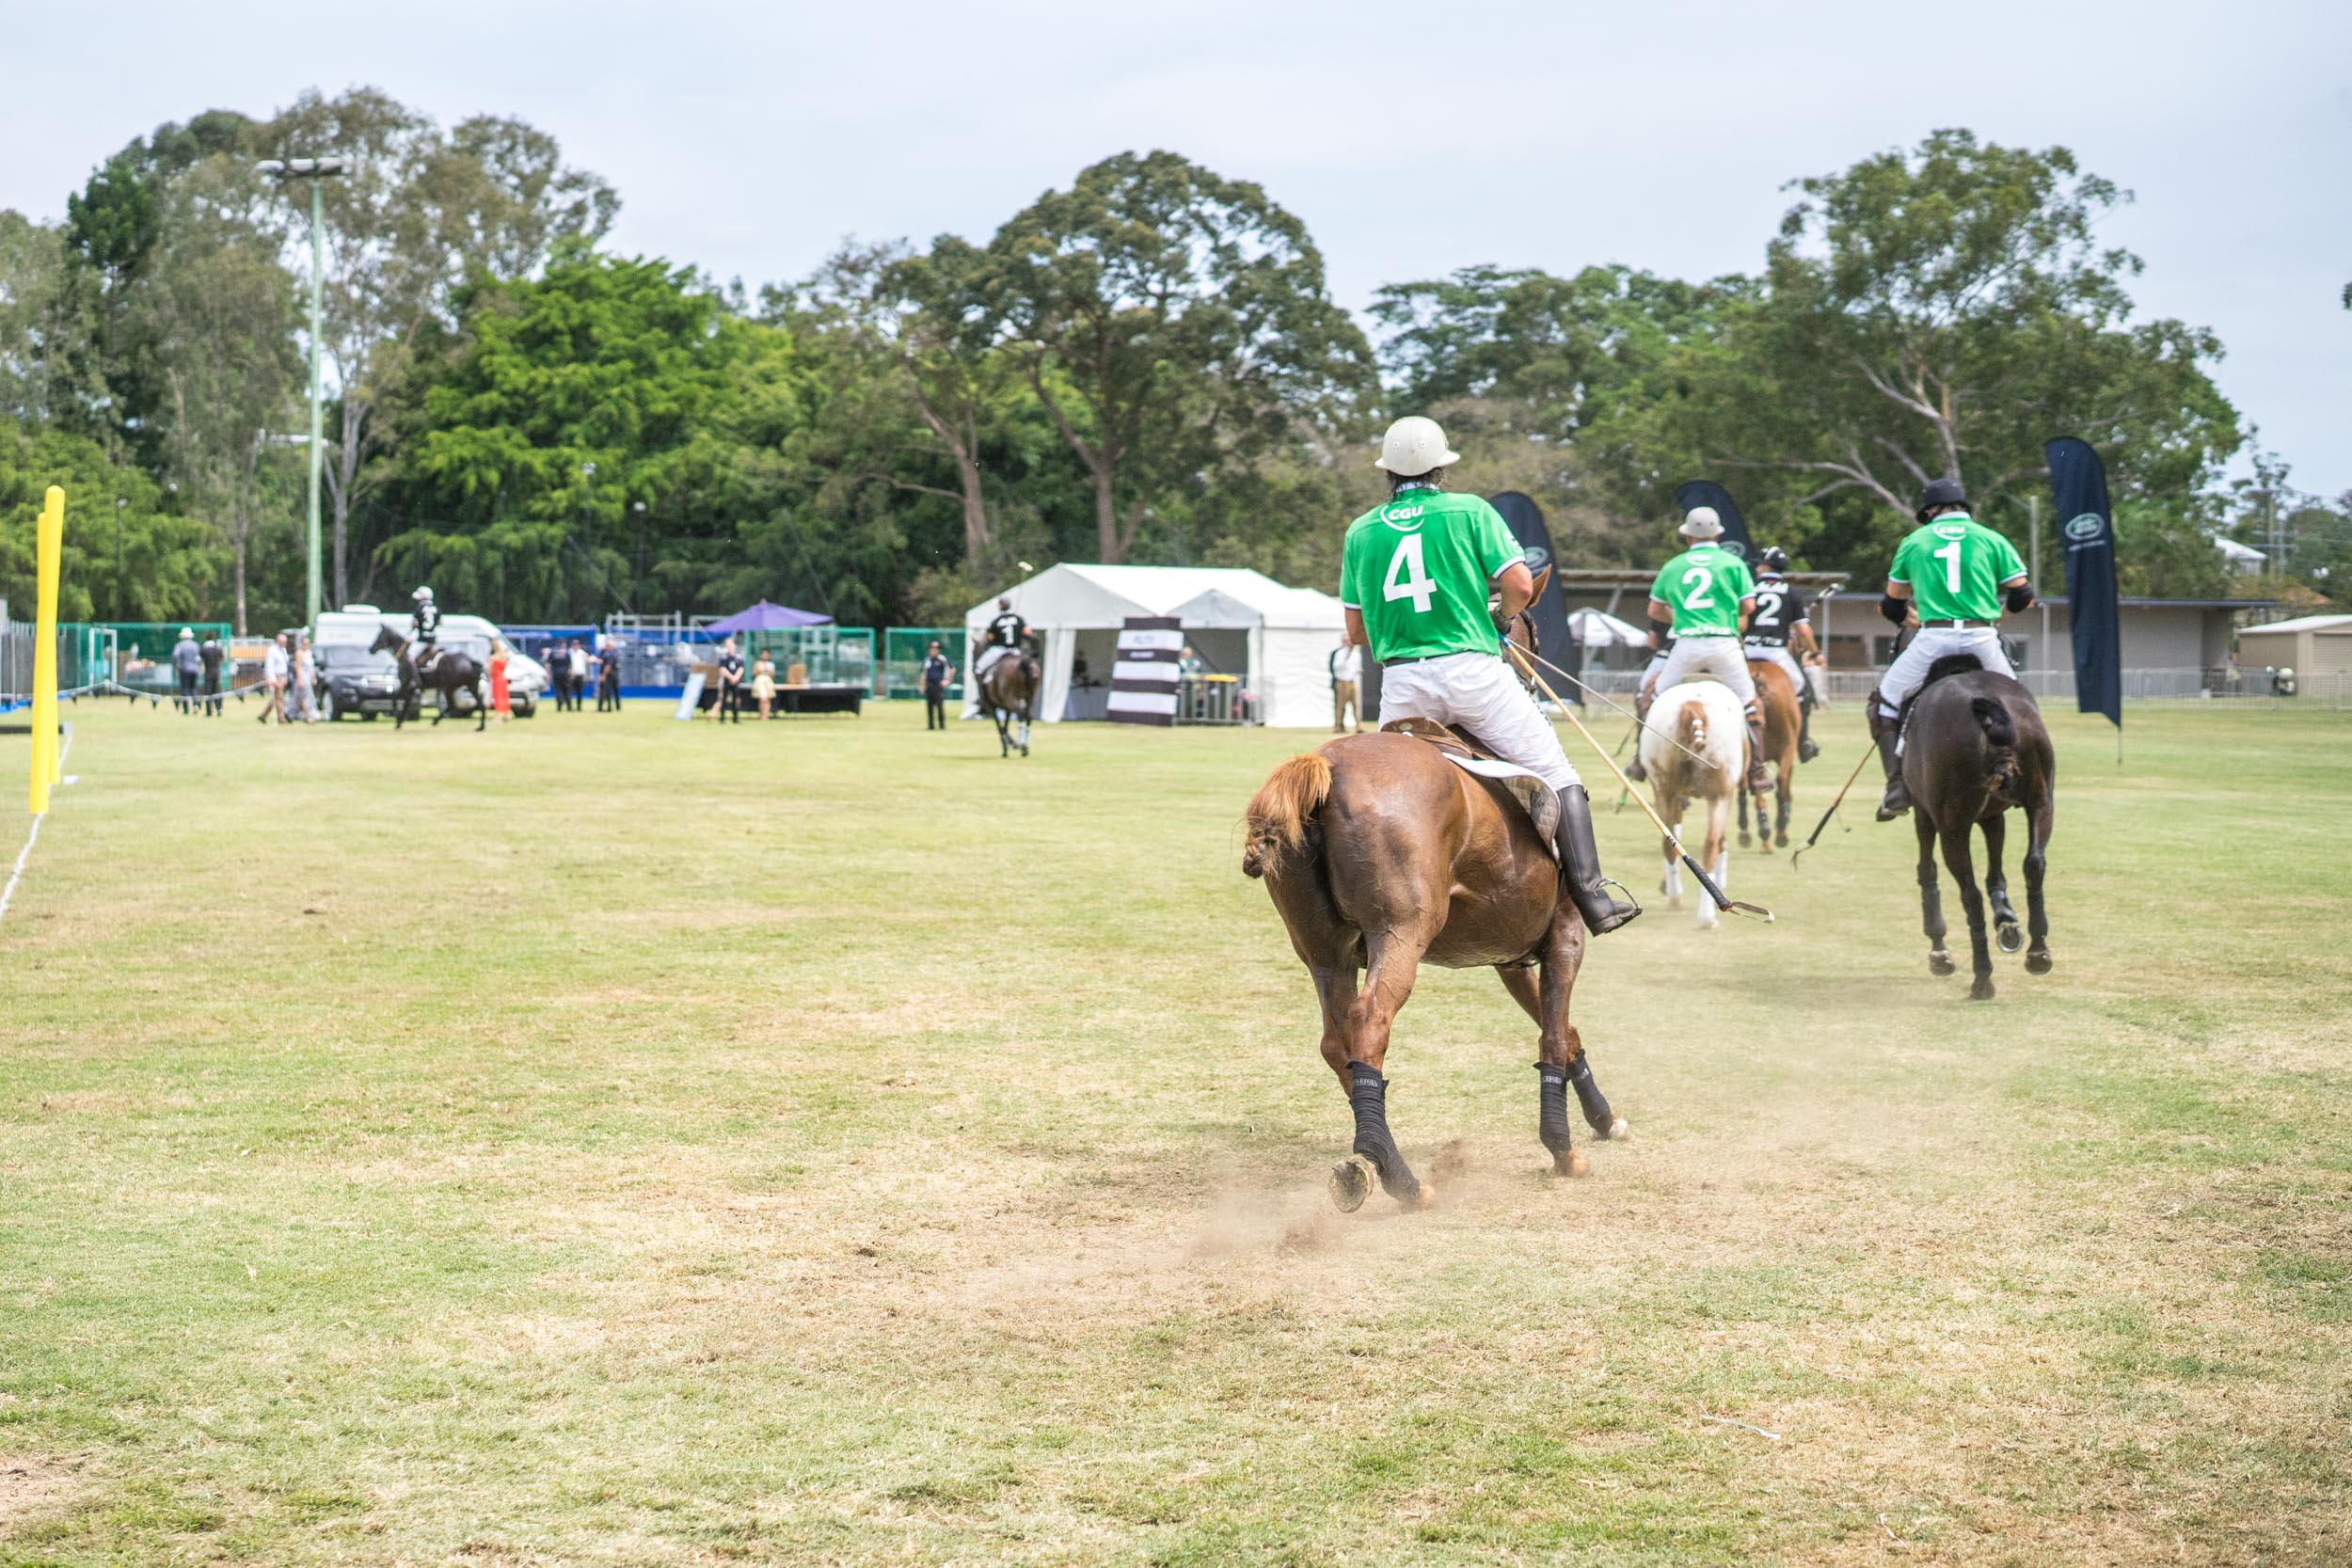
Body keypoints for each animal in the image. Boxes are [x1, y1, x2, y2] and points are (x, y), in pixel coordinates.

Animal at [978, 639, 1044, 761]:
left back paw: (1021, 746)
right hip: (1030, 697)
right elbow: (1005, 725)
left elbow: (1000, 727)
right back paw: (1025, 748)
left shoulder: (990, 706)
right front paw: (1009, 746)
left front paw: (1008, 747)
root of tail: (1024, 663)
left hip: (1010, 699)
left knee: (1021, 715)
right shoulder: (1006, 707)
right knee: (1028, 716)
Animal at [1242, 733, 1628, 1212]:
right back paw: (1400, 1179)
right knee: (1370, 1020)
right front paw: (1564, 1151)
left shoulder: (1510, 960)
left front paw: (1605, 1119)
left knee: (1336, 1041)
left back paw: (1375, 1165)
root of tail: (1324, 766)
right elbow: (1555, 1036)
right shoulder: (1565, 939)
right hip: (1402, 930)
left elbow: (1563, 1030)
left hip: (1325, 953)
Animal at [1637, 681, 1750, 926]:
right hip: (1719, 794)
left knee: (1669, 843)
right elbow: (1719, 840)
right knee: (1710, 845)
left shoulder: (1672, 794)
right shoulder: (1724, 794)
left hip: (1665, 789)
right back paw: (1705, 916)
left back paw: (1678, 900)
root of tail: (1693, 707)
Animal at [1900, 653, 2051, 1001]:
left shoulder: (1924, 813)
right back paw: (2038, 953)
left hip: (1951, 826)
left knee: (1969, 894)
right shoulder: (1992, 815)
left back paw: (1982, 978)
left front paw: (1939, 953)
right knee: (2034, 863)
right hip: (2041, 799)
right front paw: (2007, 922)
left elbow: (1927, 872)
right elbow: (1996, 870)